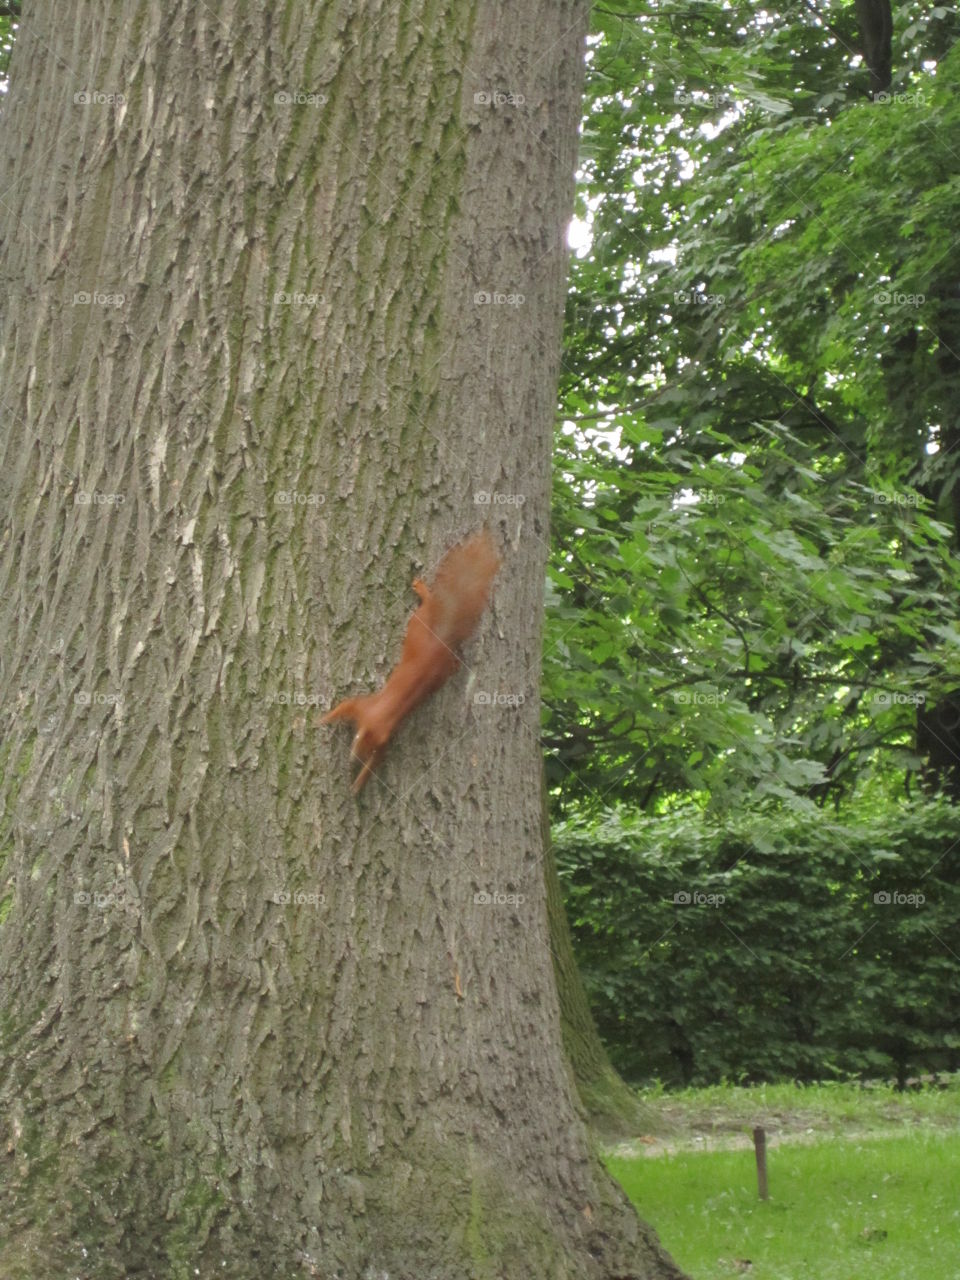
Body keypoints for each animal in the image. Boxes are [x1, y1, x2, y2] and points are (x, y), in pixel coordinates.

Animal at [322, 528, 501, 792]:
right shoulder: (367, 712)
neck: (382, 716)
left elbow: (348, 707)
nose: (353, 760)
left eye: (365, 748)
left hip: (420, 619)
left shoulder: (371, 717)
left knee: (428, 603)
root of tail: (441, 639)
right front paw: (320, 721)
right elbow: (345, 706)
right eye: (357, 739)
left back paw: (421, 589)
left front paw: (358, 783)